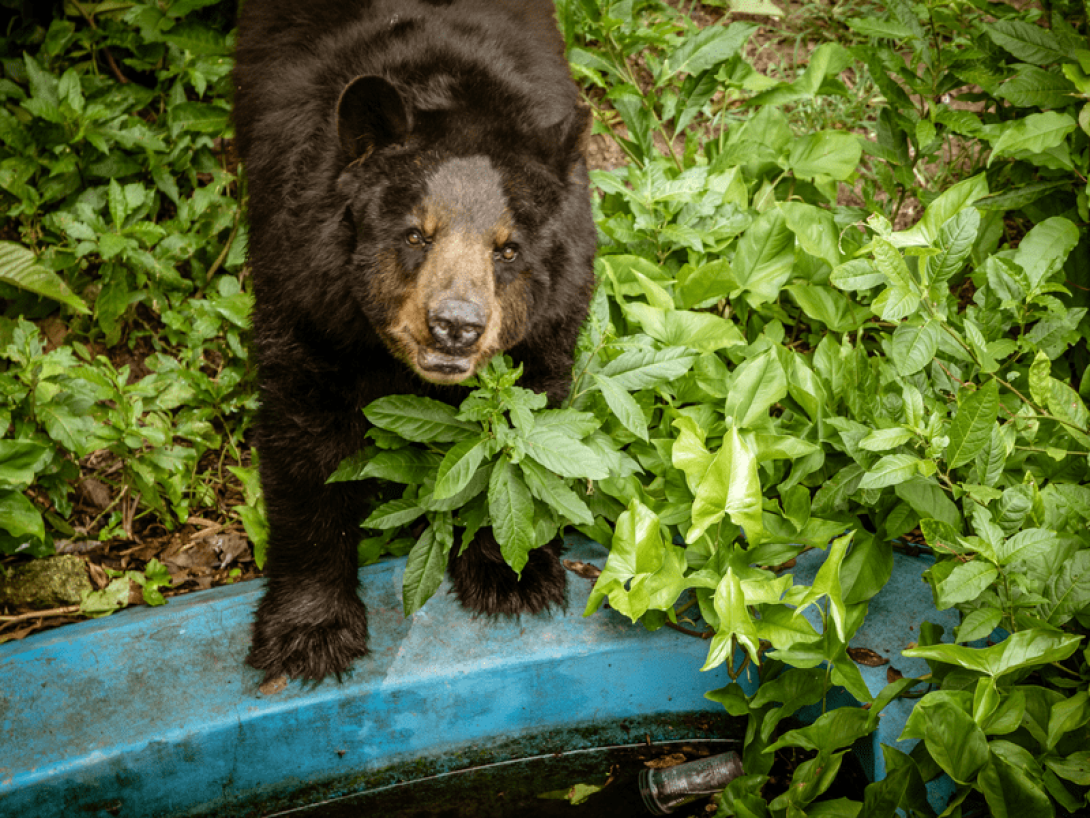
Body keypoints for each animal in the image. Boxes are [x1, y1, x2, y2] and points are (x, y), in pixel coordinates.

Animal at [233, 0, 601, 684]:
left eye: (508, 250)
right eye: (414, 236)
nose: (455, 324)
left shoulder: (552, 315)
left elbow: (518, 432)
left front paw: (512, 576)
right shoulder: (306, 293)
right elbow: (304, 445)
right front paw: (309, 632)